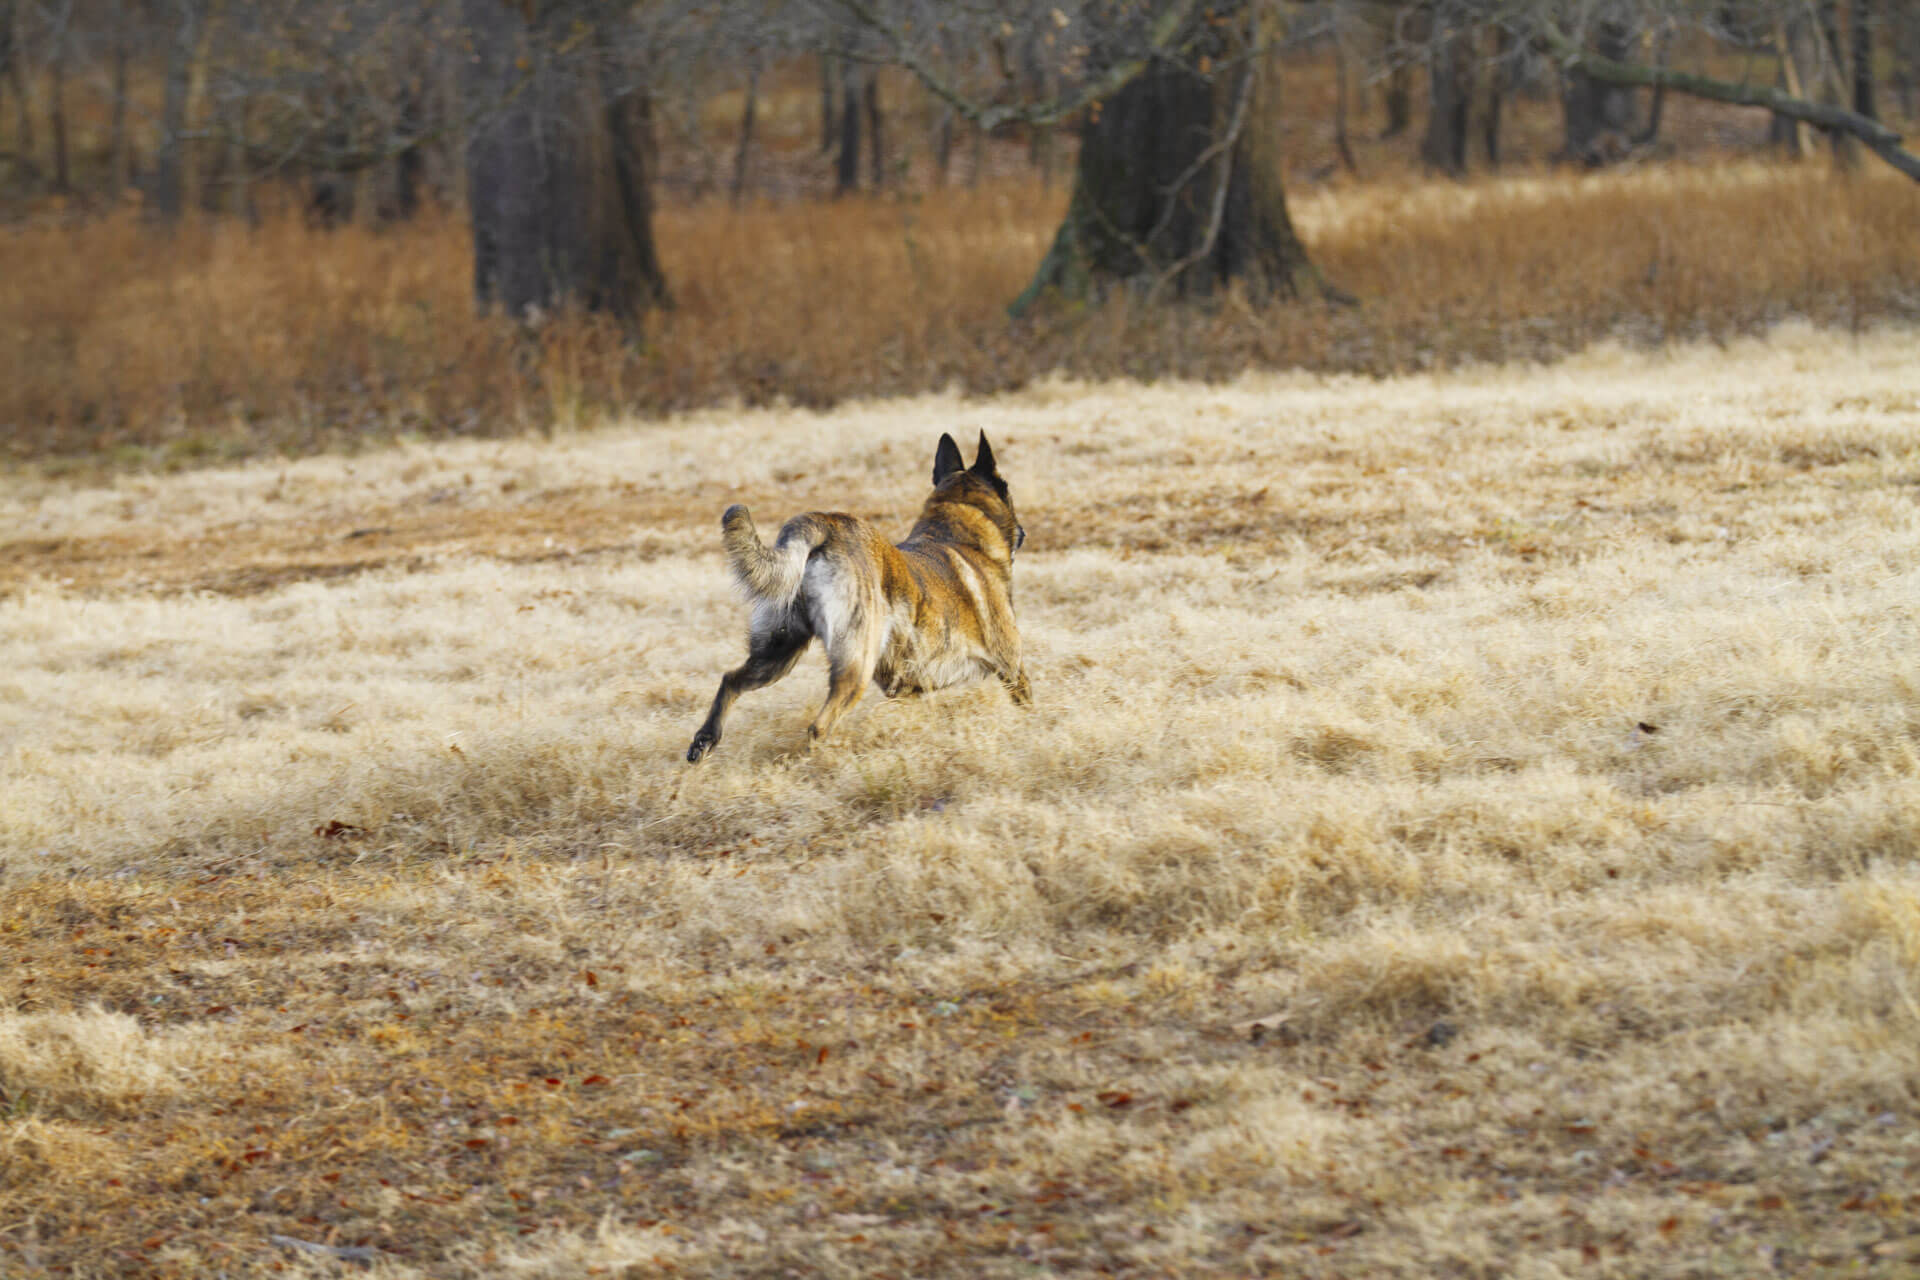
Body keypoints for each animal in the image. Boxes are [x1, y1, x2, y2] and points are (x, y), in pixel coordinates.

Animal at [683, 429, 1029, 759]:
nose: (1023, 533)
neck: (958, 534)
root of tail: (826, 524)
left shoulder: (909, 690)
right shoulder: (1012, 668)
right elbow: (1027, 705)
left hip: (777, 654)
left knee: (731, 680)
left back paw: (705, 741)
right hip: (855, 667)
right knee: (819, 726)